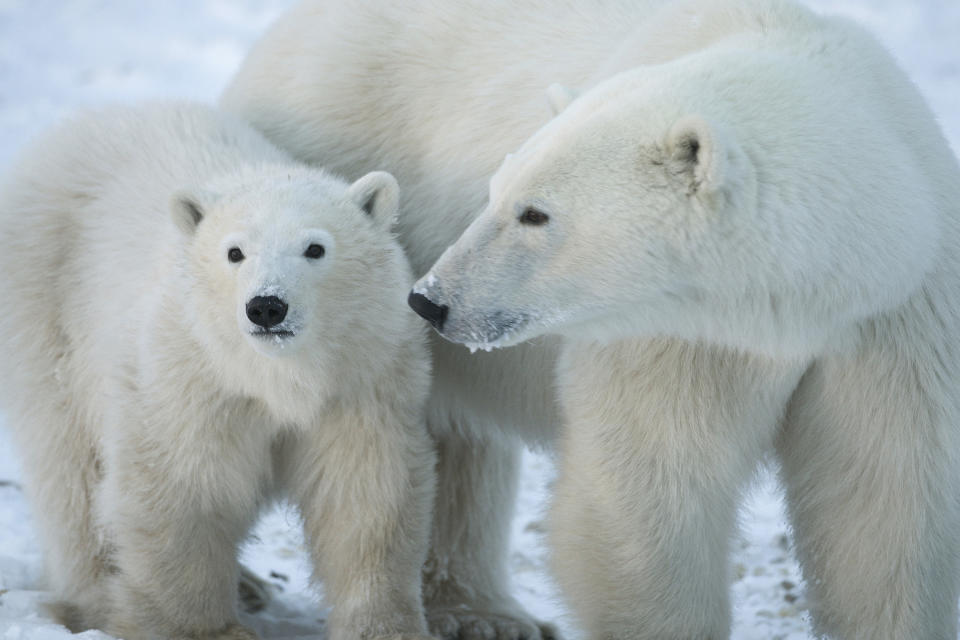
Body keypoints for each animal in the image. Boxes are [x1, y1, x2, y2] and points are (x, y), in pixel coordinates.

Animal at [225, 1, 960, 636]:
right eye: (495, 191)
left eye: (534, 212)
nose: (430, 298)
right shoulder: (675, 332)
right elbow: (651, 489)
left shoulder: (894, 319)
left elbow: (881, 510)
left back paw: (484, 612)